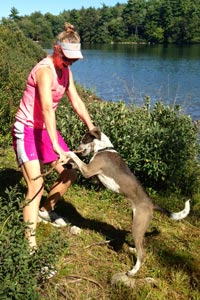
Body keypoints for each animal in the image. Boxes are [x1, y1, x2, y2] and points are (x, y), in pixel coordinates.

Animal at [66, 127, 191, 276]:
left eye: (84, 140)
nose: (78, 148)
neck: (103, 148)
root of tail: (151, 203)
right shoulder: (94, 177)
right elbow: (77, 164)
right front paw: (69, 163)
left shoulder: (88, 170)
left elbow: (76, 159)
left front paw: (68, 153)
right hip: (138, 223)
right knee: (141, 246)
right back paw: (133, 250)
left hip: (137, 226)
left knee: (142, 254)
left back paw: (132, 272)